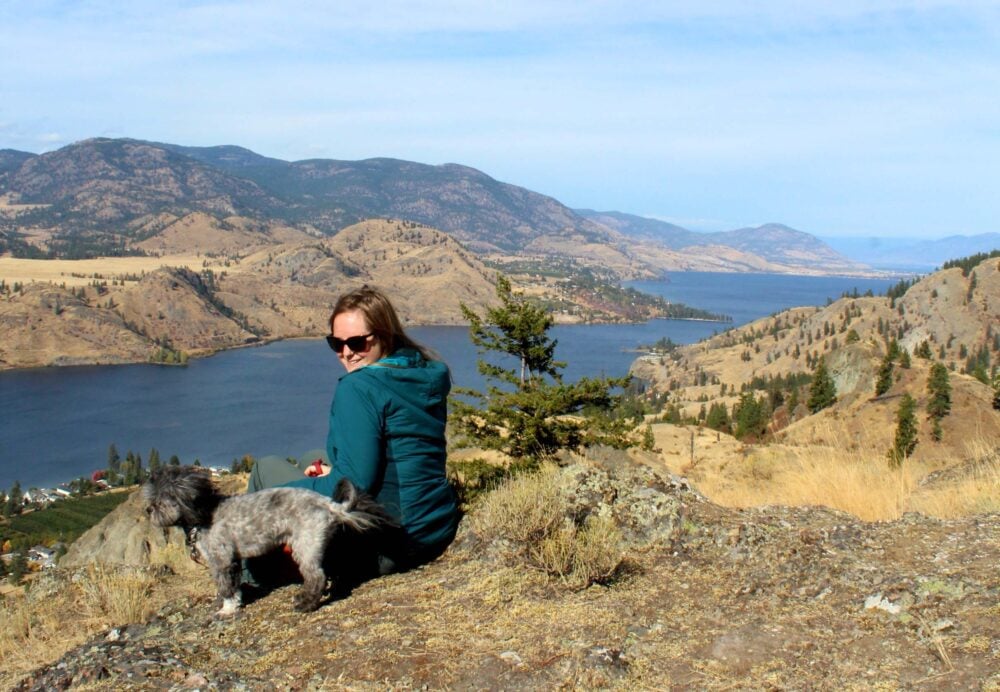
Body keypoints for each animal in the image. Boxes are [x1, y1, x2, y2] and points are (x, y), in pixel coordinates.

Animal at [142, 464, 398, 616]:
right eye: (151, 498)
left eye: (161, 500)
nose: (148, 509)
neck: (204, 512)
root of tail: (328, 504)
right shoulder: (231, 560)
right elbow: (230, 585)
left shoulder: (222, 559)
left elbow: (227, 586)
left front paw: (227, 609)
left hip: (305, 545)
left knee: (316, 577)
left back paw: (306, 604)